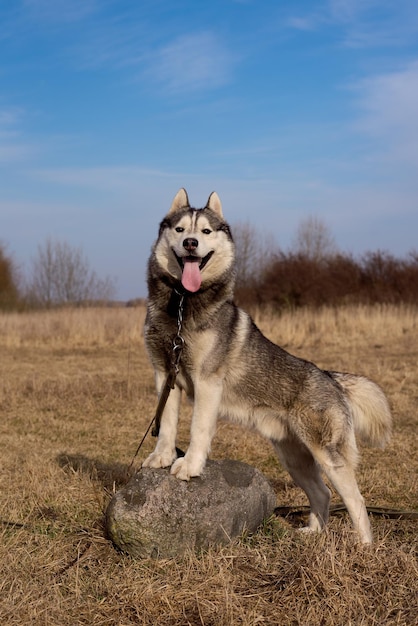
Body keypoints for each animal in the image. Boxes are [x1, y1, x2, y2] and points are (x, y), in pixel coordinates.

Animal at [144, 189, 392, 540]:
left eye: (205, 231)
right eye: (180, 230)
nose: (191, 243)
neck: (181, 307)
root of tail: (330, 378)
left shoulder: (207, 382)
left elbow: (197, 429)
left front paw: (189, 466)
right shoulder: (165, 374)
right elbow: (166, 423)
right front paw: (161, 457)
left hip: (327, 456)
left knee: (356, 500)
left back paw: (364, 547)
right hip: (294, 458)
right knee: (322, 493)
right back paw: (312, 533)